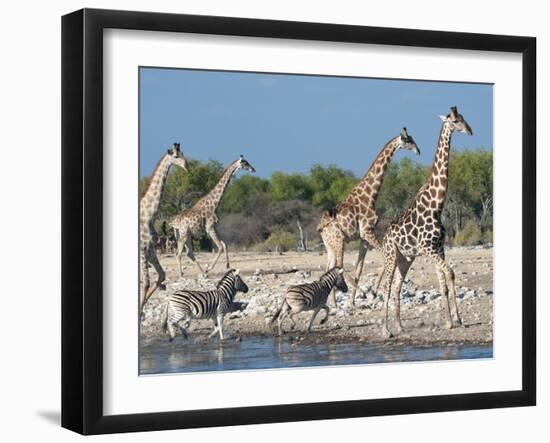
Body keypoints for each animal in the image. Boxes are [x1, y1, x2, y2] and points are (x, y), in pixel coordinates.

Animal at [139, 144, 189, 314]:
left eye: (183, 153)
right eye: (175, 156)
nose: (187, 166)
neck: (149, 215)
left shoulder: (150, 249)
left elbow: (161, 275)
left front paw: (141, 311)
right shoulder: (142, 250)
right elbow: (146, 282)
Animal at [316, 128, 420, 308]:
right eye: (408, 140)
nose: (418, 151)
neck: (371, 195)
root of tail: (321, 228)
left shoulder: (364, 236)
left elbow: (360, 267)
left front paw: (353, 300)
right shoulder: (367, 231)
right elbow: (383, 257)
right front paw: (371, 292)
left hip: (330, 245)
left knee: (329, 267)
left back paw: (334, 303)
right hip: (339, 241)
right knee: (338, 266)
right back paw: (355, 295)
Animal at [384, 106, 474, 336]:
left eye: (464, 118)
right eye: (455, 121)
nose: (470, 131)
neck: (436, 207)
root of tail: (385, 235)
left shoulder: (439, 248)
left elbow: (446, 281)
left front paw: (454, 320)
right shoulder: (429, 249)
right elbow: (449, 273)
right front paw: (451, 321)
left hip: (405, 258)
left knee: (396, 287)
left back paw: (399, 326)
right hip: (391, 255)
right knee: (387, 286)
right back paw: (387, 329)